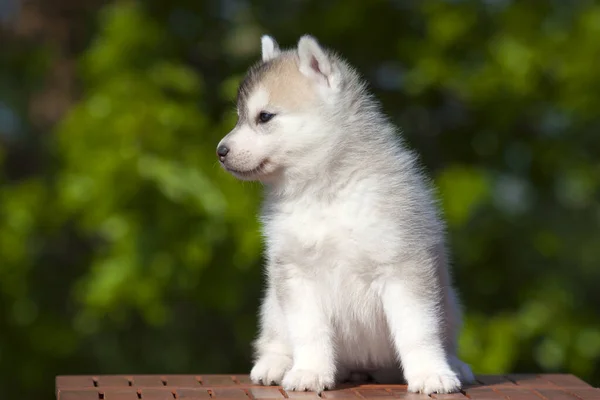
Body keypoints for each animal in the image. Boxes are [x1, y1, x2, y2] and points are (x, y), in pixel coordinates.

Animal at [216, 33, 474, 394]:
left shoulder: (402, 266)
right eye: (239, 117)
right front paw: (309, 371)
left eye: (264, 117)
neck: (324, 193)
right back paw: (275, 364)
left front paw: (430, 372)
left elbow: (417, 330)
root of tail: (362, 368)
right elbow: (308, 331)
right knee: (275, 338)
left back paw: (456, 364)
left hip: (450, 304)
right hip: (272, 306)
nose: (220, 151)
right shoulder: (296, 274)